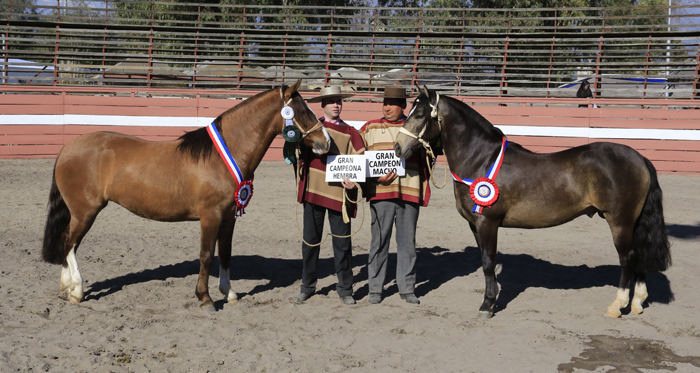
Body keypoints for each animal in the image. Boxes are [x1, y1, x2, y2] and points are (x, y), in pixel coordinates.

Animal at [41, 80, 330, 310]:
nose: (325, 142)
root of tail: (67, 148)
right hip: (85, 211)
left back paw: (66, 289)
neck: (223, 156)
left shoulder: (229, 217)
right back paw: (77, 291)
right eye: (302, 111)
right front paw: (205, 299)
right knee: (68, 243)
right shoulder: (210, 216)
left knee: (69, 244)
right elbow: (206, 255)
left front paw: (229, 293)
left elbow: (226, 254)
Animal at [394, 85, 672, 318]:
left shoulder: (487, 223)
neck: (482, 159)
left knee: (628, 258)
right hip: (633, 223)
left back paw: (617, 305)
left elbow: (488, 262)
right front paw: (494, 297)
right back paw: (637, 303)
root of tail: (638, 157)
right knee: (639, 255)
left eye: (420, 115)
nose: (397, 148)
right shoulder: (475, 224)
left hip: (620, 222)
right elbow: (486, 261)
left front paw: (487, 305)